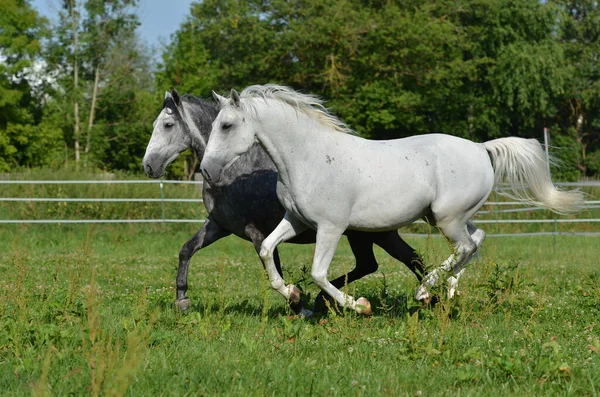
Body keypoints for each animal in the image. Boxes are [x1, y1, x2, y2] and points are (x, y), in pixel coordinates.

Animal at [141, 88, 424, 314]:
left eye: (167, 125)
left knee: (396, 261)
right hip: (369, 234)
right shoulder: (219, 226)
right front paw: (182, 300)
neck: (235, 172)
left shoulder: (256, 232)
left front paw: (298, 304)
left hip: (367, 234)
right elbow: (186, 250)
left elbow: (273, 267)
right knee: (390, 261)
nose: (148, 166)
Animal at [199, 85, 584, 314]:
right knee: (476, 241)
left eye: (227, 126)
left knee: (465, 247)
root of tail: (481, 148)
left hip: (447, 218)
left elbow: (320, 273)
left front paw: (359, 305)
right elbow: (267, 250)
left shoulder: (331, 227)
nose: (205, 170)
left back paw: (426, 292)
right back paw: (448, 291)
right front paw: (294, 295)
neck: (308, 158)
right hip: (448, 217)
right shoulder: (296, 221)